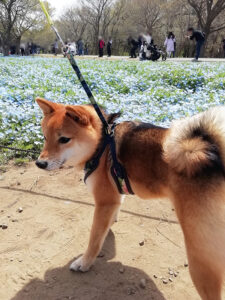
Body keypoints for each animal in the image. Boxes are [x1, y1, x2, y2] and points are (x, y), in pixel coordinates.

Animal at [35, 97, 225, 298]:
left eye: (64, 139)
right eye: (45, 137)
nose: (40, 163)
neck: (102, 145)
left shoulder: (104, 201)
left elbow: (94, 239)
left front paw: (84, 263)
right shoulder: (115, 196)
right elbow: (112, 216)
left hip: (200, 254)